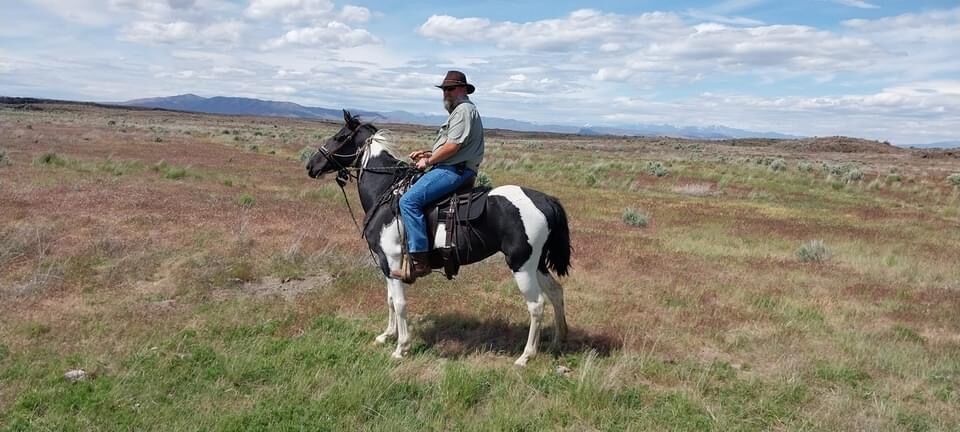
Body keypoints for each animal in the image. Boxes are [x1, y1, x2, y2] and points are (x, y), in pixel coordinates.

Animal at [306, 110, 571, 366]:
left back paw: (526, 356)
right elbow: (390, 299)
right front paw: (387, 335)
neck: (387, 192)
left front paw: (401, 347)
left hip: (521, 265)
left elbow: (400, 303)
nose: (311, 165)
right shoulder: (386, 264)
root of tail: (546, 200)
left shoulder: (392, 260)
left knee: (536, 305)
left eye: (340, 137)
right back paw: (557, 341)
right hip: (536, 263)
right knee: (556, 292)